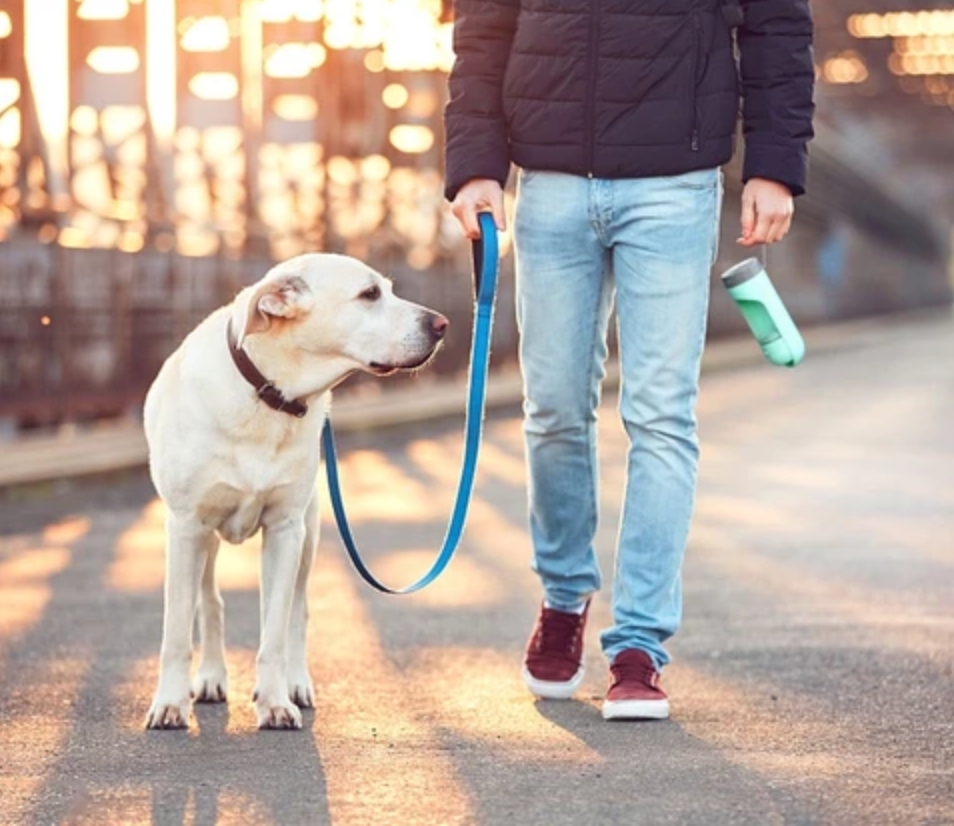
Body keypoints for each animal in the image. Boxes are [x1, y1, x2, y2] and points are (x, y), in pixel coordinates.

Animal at [144, 253, 446, 728]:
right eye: (370, 294)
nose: (442, 325)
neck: (269, 394)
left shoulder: (286, 530)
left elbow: (275, 632)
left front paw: (274, 701)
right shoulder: (186, 527)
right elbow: (176, 631)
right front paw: (170, 702)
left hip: (309, 534)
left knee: (296, 612)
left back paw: (296, 683)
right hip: (204, 540)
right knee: (209, 603)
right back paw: (211, 676)